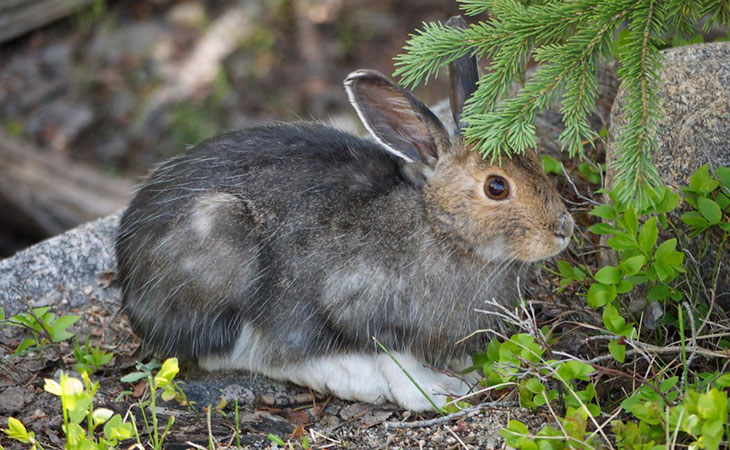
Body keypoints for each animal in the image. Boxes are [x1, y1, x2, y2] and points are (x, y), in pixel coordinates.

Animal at [115, 26, 574, 412]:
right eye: (496, 187)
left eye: (533, 158)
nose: (563, 230)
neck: (438, 225)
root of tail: (129, 281)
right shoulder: (355, 303)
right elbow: (393, 358)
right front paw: (433, 393)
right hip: (221, 247)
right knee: (237, 353)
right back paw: (349, 378)